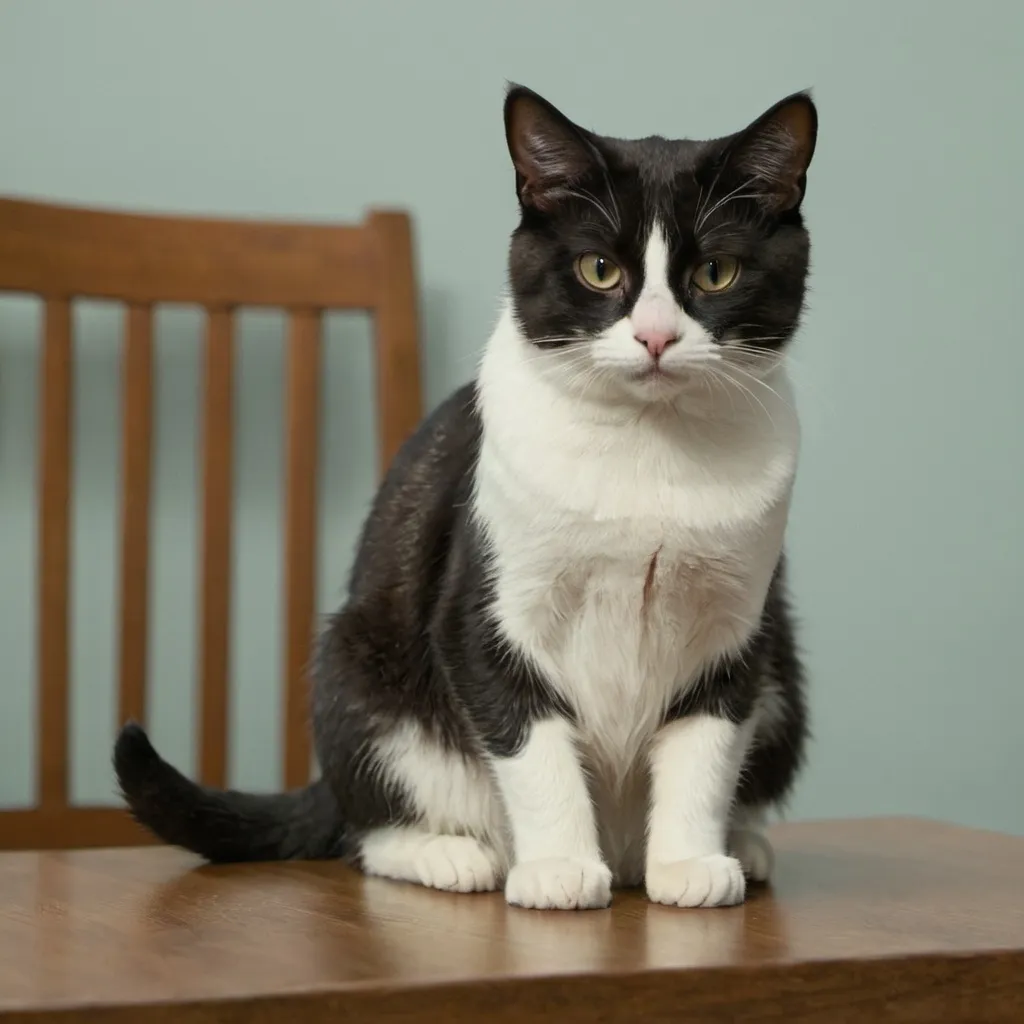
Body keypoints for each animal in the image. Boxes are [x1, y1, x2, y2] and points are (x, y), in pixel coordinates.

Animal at [114, 81, 815, 913]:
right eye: (599, 269)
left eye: (715, 273)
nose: (654, 338)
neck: (648, 446)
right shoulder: (483, 606)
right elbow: (530, 741)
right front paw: (558, 869)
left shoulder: (738, 625)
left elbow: (705, 746)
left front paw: (689, 863)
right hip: (361, 669)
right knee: (369, 827)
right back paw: (449, 855)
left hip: (784, 675)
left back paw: (734, 844)